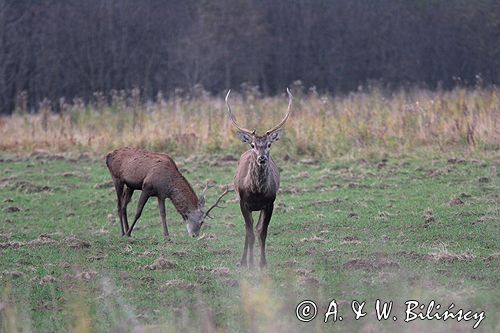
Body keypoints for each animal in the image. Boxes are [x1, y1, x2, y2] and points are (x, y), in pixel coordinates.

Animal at [225, 88, 292, 268]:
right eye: (253, 145)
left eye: (269, 144)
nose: (262, 158)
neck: (257, 191)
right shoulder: (243, 202)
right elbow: (250, 233)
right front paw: (248, 263)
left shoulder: (269, 203)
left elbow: (262, 232)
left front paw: (262, 263)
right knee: (248, 231)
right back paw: (245, 261)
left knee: (255, 229)